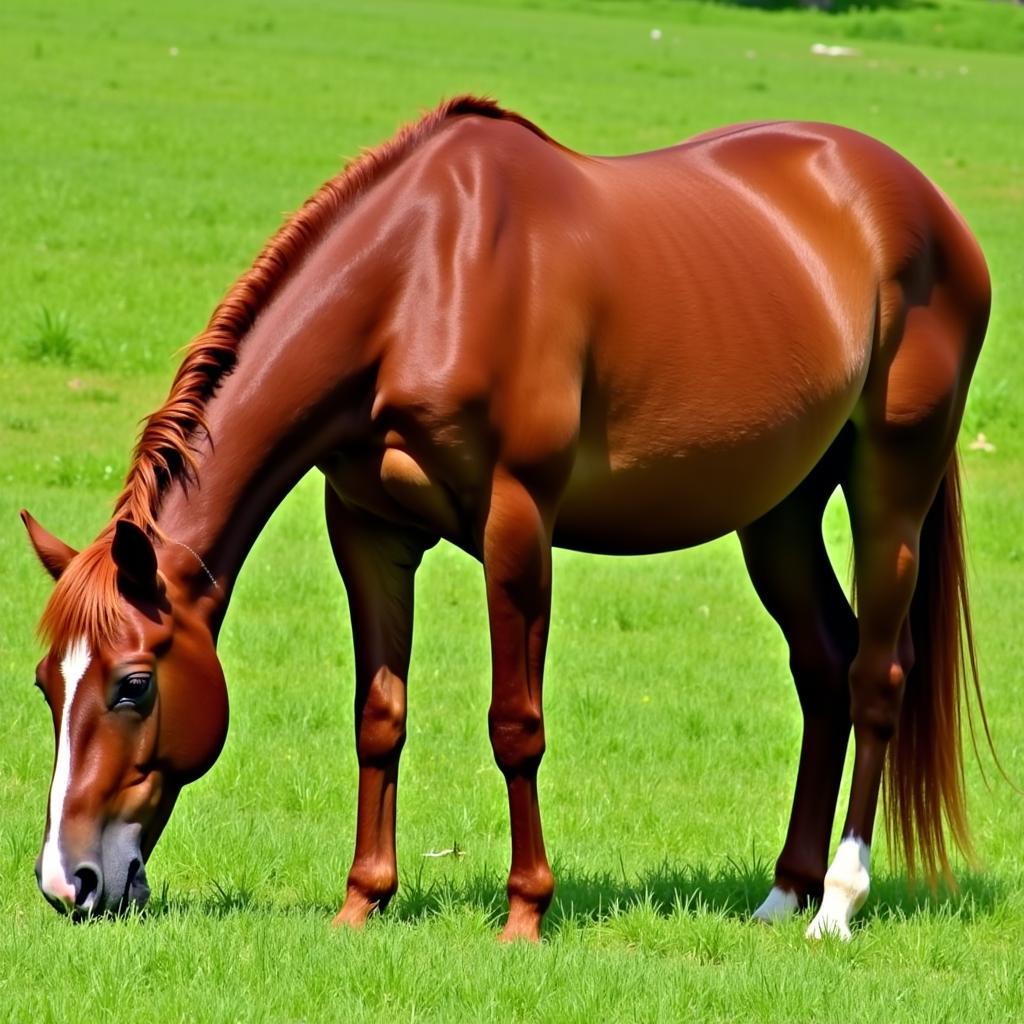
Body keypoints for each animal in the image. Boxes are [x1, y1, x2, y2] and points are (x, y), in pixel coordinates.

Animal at [24, 96, 991, 942]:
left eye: (134, 685)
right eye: (45, 685)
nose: (68, 883)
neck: (422, 279)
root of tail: (926, 205)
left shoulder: (517, 523)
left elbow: (515, 726)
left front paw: (526, 911)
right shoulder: (366, 529)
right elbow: (379, 715)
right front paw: (362, 902)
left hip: (891, 486)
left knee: (875, 676)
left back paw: (839, 902)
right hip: (779, 510)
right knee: (823, 666)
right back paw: (784, 893)